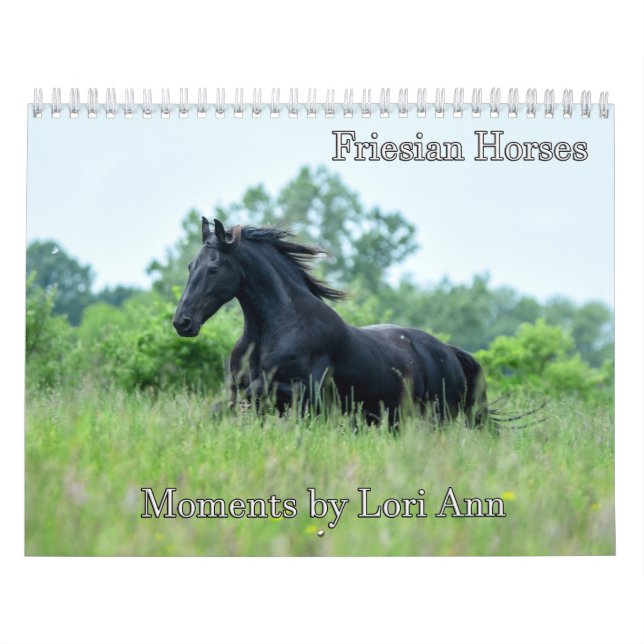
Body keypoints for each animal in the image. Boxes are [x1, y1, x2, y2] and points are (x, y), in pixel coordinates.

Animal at [173, 217, 490, 428]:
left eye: (214, 268)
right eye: (190, 266)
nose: (182, 322)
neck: (272, 330)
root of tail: (450, 352)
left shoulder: (302, 392)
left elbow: (249, 397)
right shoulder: (237, 387)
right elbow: (222, 407)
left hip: (435, 420)